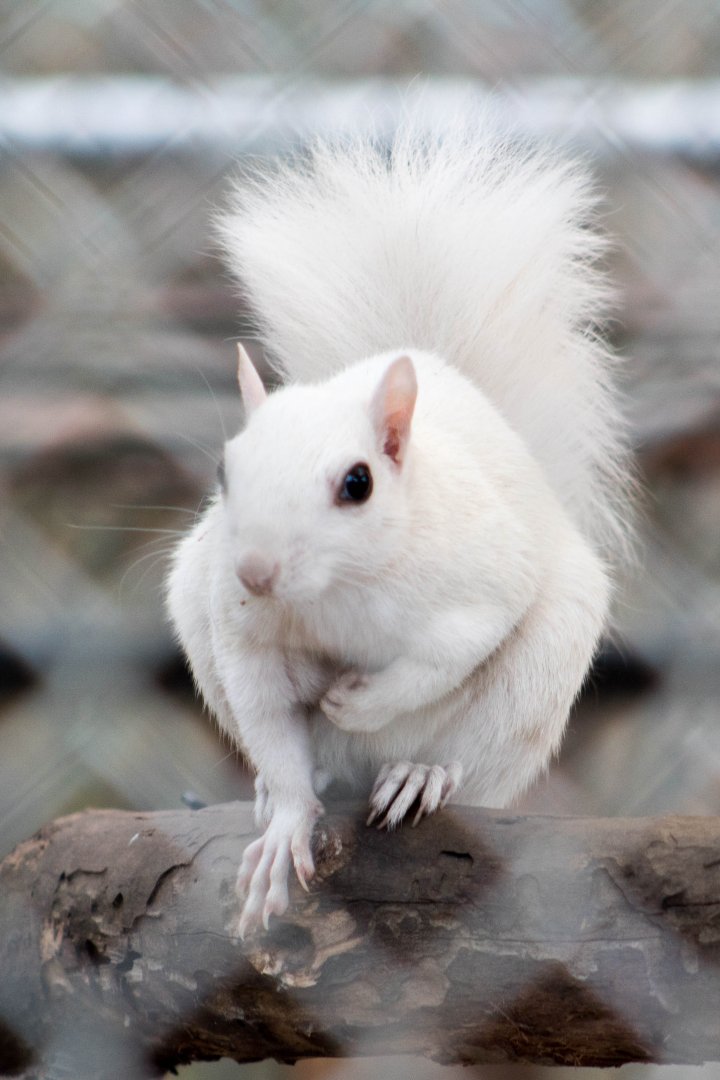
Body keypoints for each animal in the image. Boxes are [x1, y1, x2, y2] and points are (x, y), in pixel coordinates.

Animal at [166, 119, 631, 936]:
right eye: (225, 471)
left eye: (358, 484)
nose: (255, 572)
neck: (335, 594)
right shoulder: (243, 638)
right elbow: (272, 725)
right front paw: (286, 822)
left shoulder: (482, 583)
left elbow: (444, 656)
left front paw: (358, 702)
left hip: (532, 685)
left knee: (472, 762)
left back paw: (420, 772)